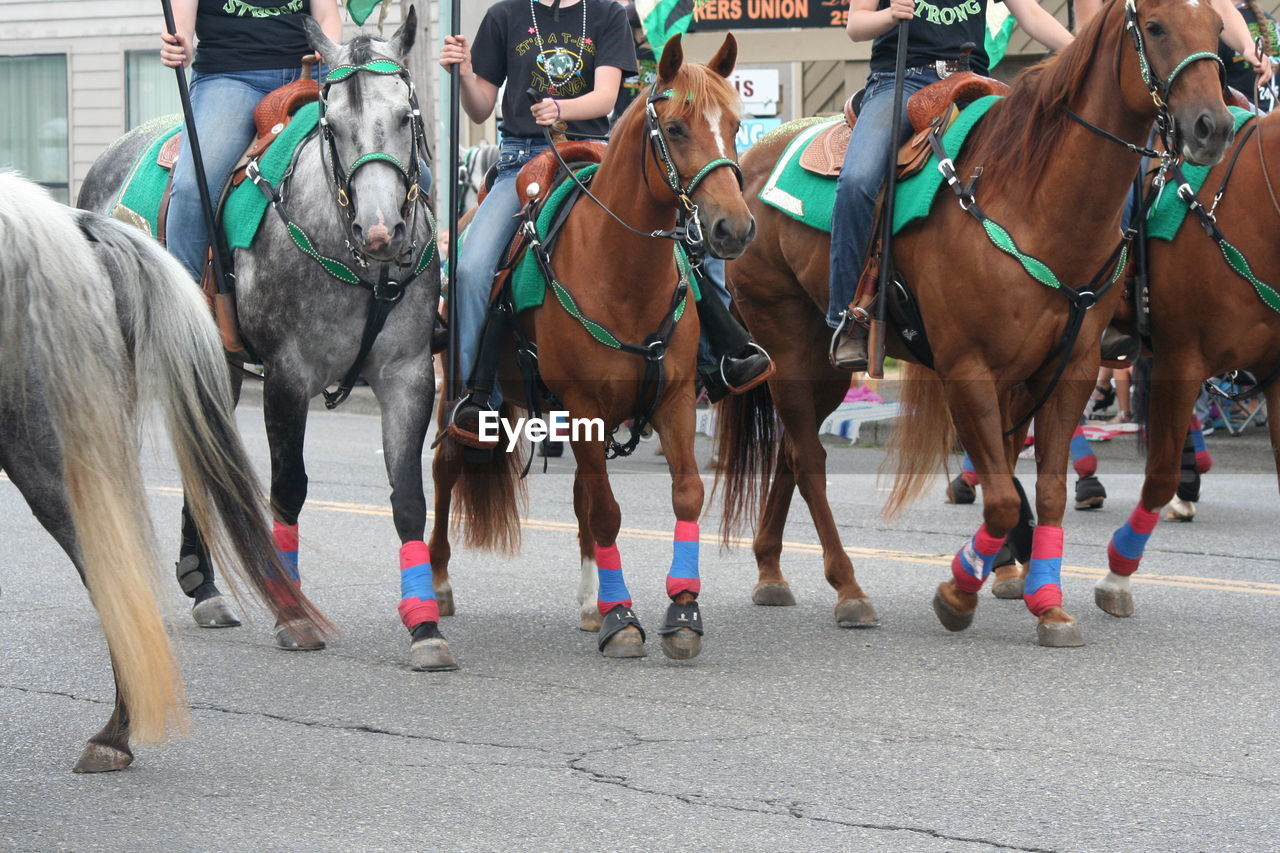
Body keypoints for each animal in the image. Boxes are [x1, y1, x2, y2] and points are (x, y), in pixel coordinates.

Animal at [77, 9, 450, 666]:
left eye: (408, 117)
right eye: (332, 126)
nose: (380, 231)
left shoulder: (406, 376)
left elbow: (408, 499)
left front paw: (425, 626)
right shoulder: (287, 375)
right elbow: (289, 488)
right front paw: (292, 610)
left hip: (214, 366)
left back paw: (203, 587)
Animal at [424, 33, 752, 660]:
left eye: (736, 124)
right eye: (677, 128)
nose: (734, 229)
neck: (622, 271)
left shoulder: (673, 400)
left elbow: (684, 495)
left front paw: (681, 611)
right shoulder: (583, 407)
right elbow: (605, 511)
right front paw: (622, 619)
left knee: (579, 495)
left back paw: (588, 600)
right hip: (460, 396)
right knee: (447, 468)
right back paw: (439, 583)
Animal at [721, 0, 1228, 640]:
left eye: (1218, 28)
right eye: (1156, 27)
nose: (1214, 127)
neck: (1035, 199)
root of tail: (748, 163)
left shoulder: (1067, 369)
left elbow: (1043, 487)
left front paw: (1043, 600)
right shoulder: (967, 368)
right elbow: (1003, 495)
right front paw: (961, 591)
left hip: (825, 366)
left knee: (791, 452)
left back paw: (770, 572)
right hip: (787, 344)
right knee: (809, 461)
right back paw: (849, 590)